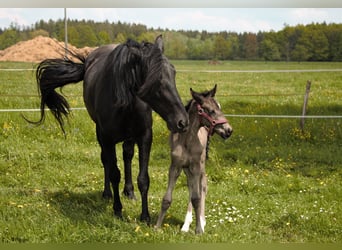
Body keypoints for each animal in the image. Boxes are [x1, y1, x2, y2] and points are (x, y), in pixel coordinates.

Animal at [30, 35, 188, 223]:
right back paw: (107, 194)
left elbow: (143, 178)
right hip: (101, 134)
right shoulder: (107, 138)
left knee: (127, 156)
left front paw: (145, 216)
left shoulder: (144, 136)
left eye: (173, 73)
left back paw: (129, 191)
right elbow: (114, 173)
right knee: (106, 160)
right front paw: (117, 210)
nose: (182, 121)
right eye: (155, 80)